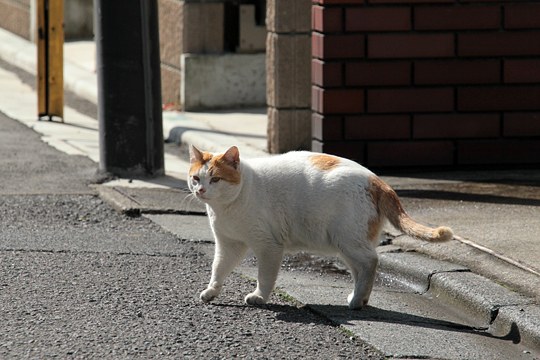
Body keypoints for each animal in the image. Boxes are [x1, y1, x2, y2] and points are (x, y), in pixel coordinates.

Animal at [189, 145, 452, 308]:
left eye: (215, 179)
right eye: (196, 178)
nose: (200, 190)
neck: (227, 207)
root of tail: (377, 180)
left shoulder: (268, 246)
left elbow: (265, 276)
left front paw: (259, 297)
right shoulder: (228, 245)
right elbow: (218, 268)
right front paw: (212, 291)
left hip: (348, 241)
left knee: (371, 262)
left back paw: (357, 302)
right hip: (347, 245)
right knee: (361, 268)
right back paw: (359, 298)